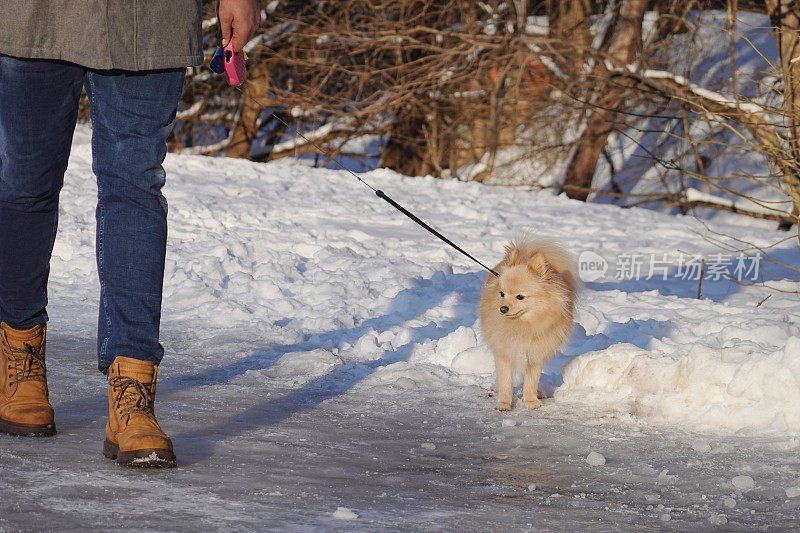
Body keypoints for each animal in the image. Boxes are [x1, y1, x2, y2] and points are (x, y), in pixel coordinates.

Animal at [482, 238, 576, 412]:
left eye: (520, 297)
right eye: (502, 294)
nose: (502, 309)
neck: (523, 326)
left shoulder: (535, 354)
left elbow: (531, 381)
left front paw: (531, 400)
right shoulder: (504, 351)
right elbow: (506, 381)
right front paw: (504, 402)